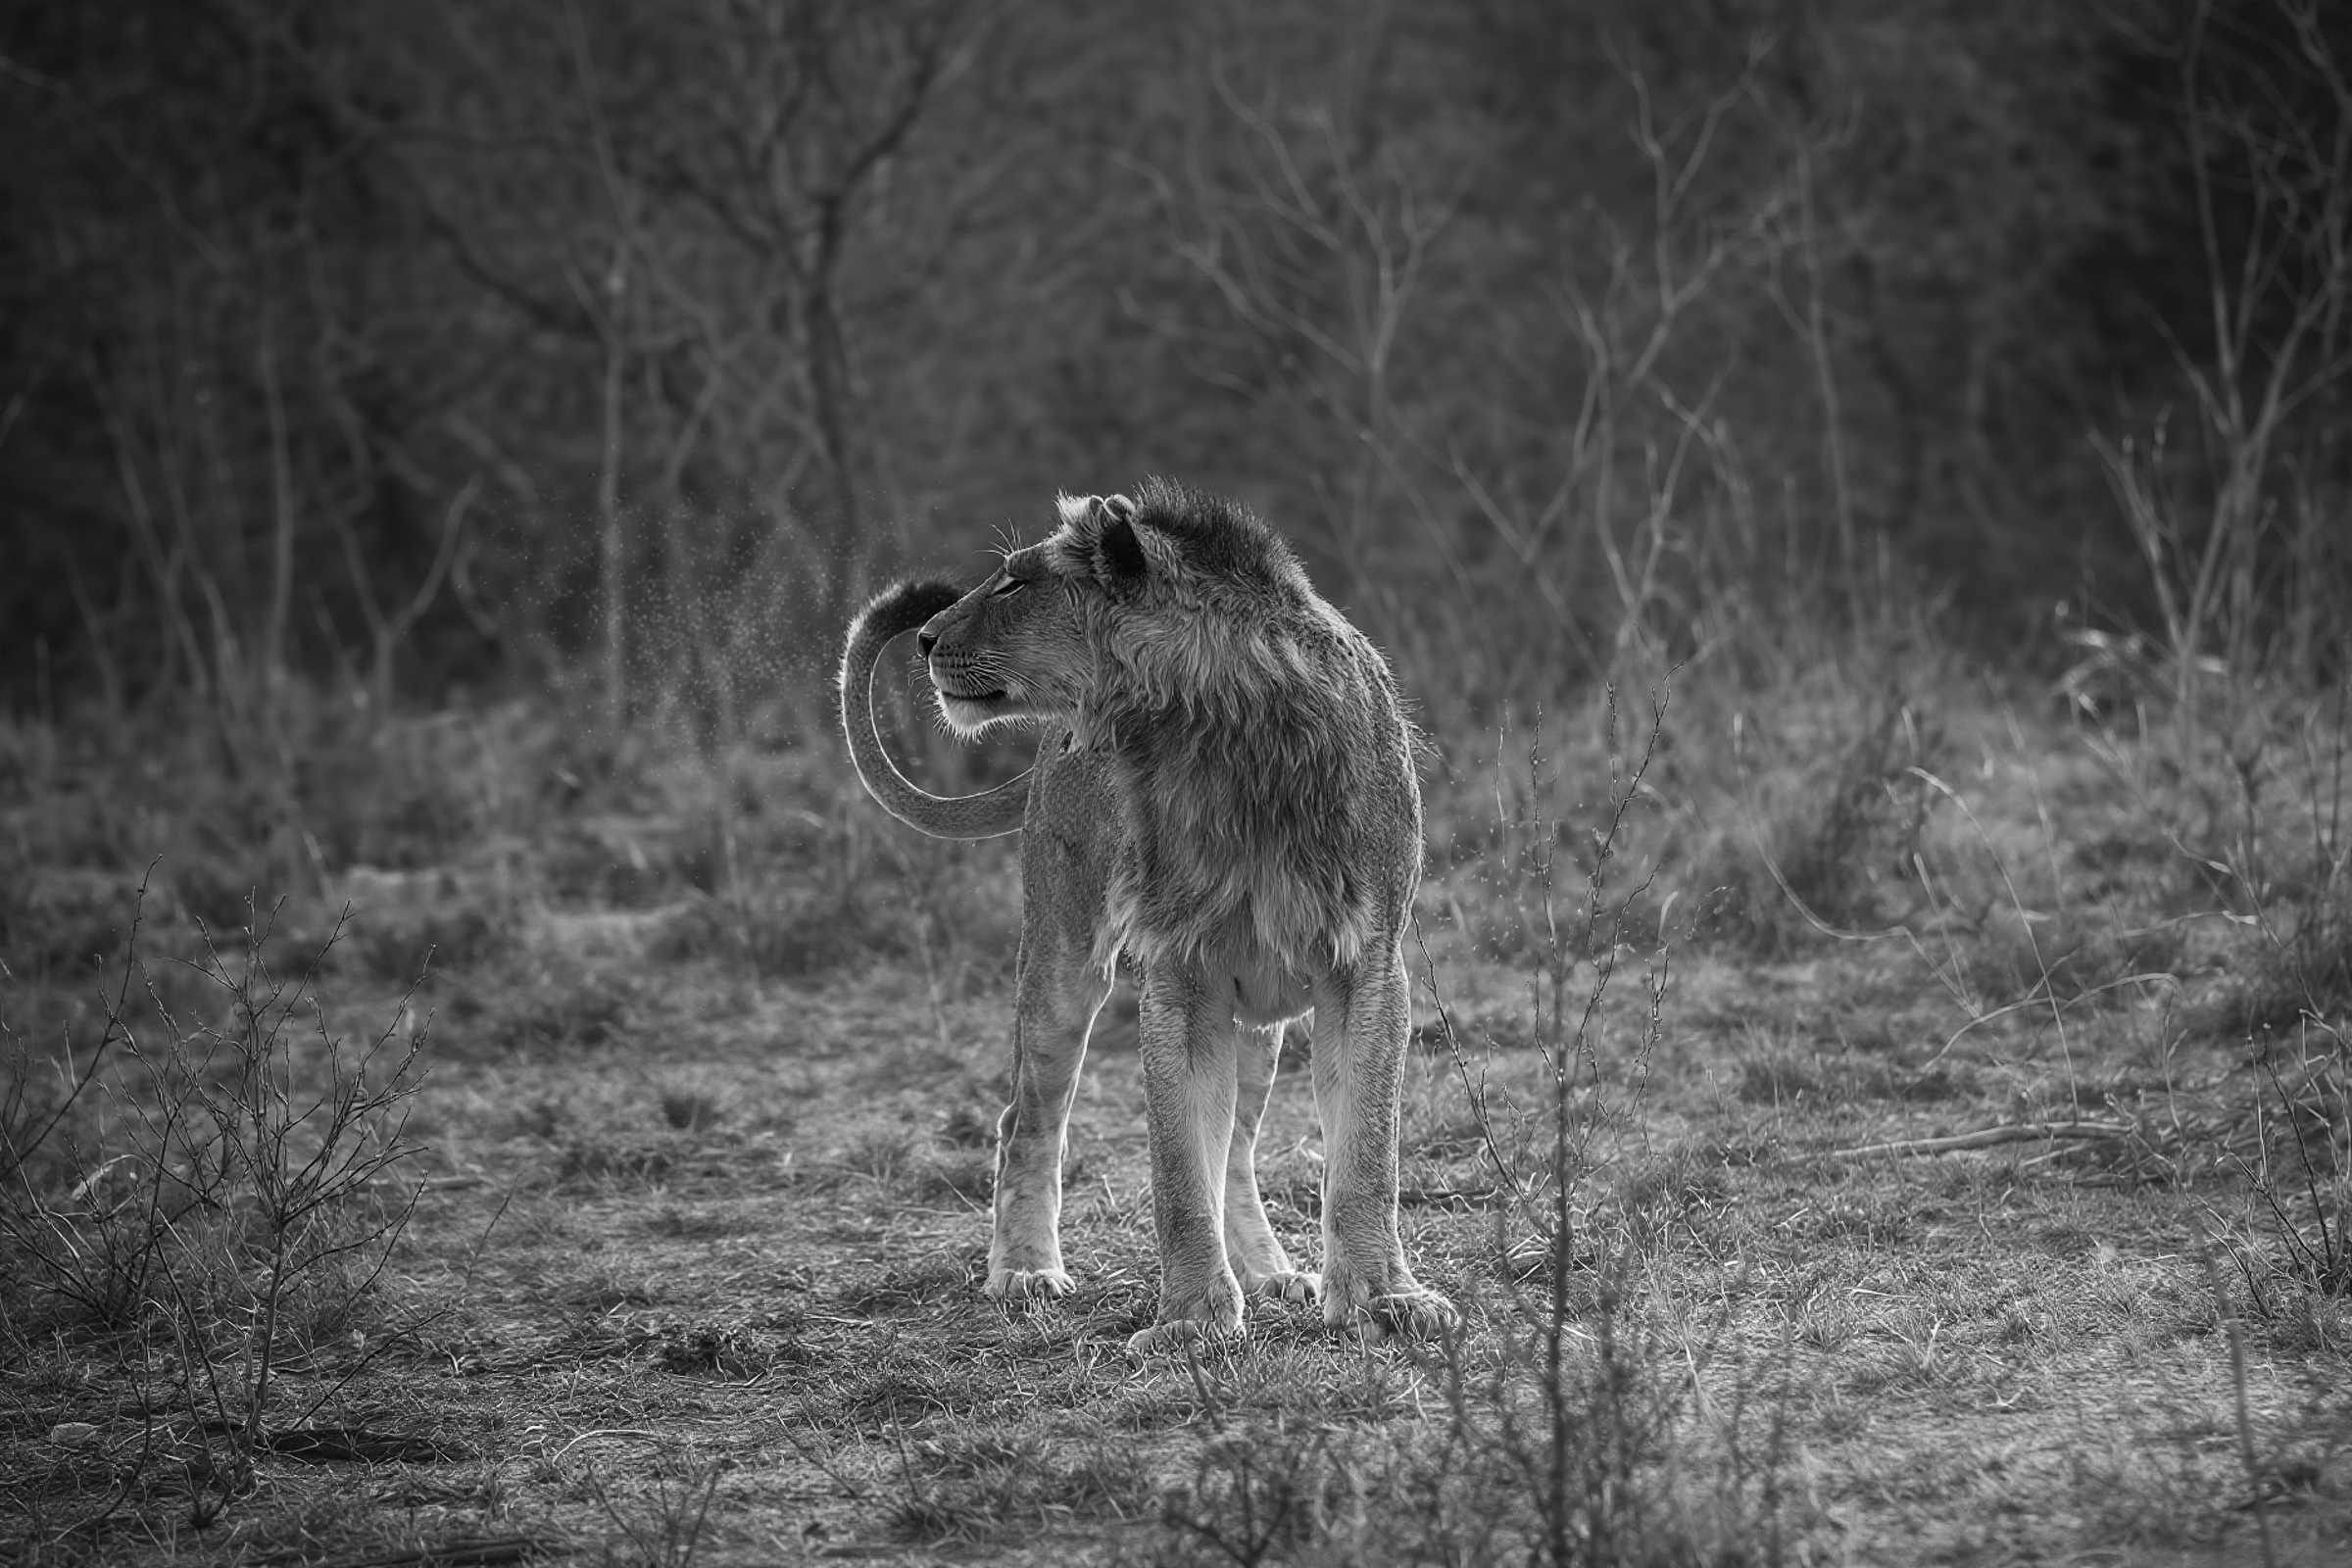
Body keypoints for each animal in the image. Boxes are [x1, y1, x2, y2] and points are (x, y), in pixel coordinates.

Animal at [838, 479, 1456, 1353]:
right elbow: (1177, 1172)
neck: (1218, 740)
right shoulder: (1181, 978)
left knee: (1237, 1150)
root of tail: (1043, 757)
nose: (925, 638)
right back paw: (1024, 1272)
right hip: (1061, 960)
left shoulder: (1366, 964)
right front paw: (1191, 1320)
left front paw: (1382, 1298)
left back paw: (1272, 1274)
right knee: (1026, 1120)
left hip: (1259, 1022)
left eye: (1014, 584)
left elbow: (1366, 1155)